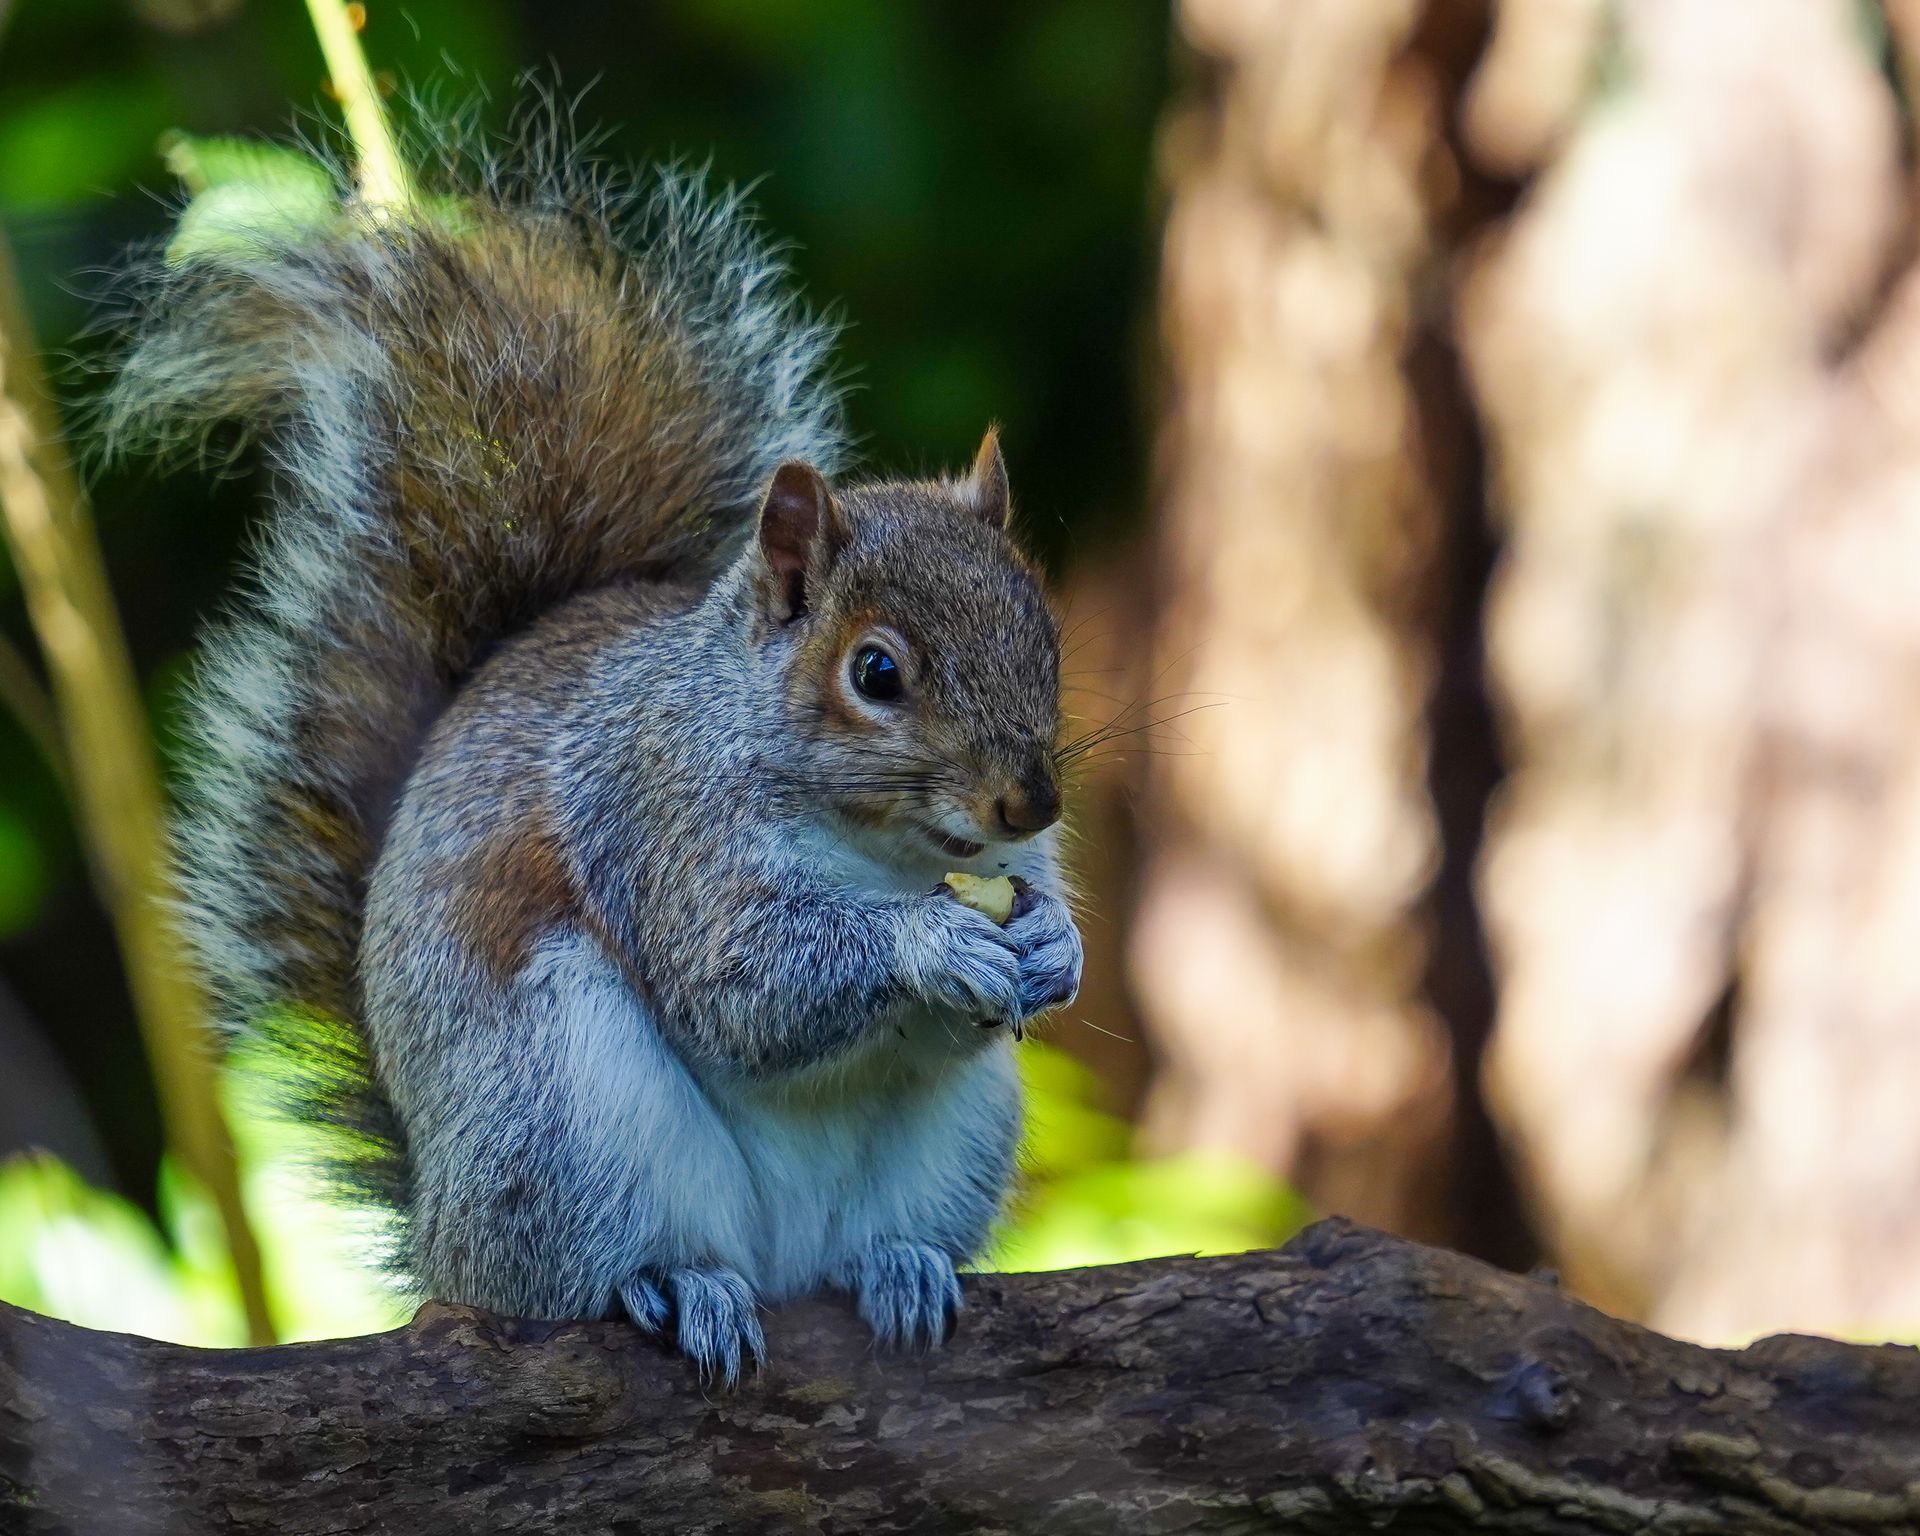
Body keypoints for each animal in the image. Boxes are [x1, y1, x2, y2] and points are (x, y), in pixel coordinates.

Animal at [101, 127, 1083, 1380]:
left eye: (1041, 632)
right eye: (875, 673)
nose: (1029, 801)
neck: (883, 846)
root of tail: (438, 1228)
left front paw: (1055, 948)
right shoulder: (656, 822)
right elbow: (741, 990)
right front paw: (928, 942)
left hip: (955, 1136)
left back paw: (900, 1265)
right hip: (560, 1123)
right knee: (575, 1280)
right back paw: (672, 1285)